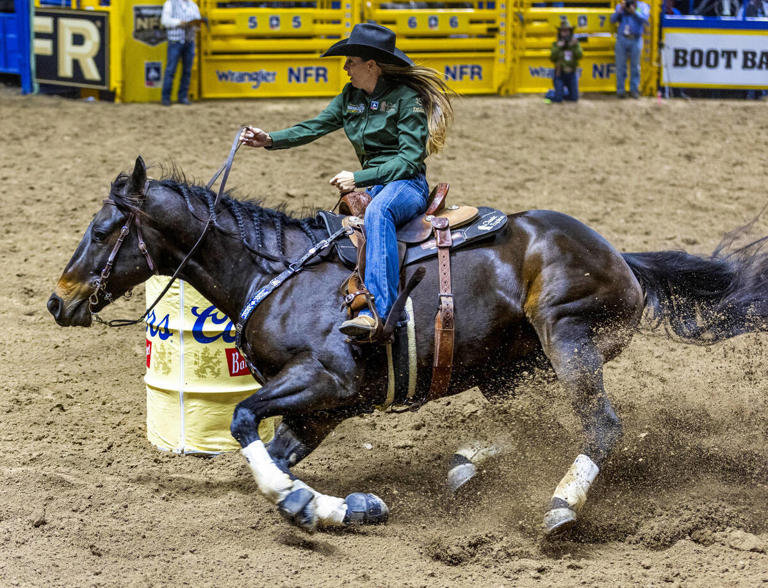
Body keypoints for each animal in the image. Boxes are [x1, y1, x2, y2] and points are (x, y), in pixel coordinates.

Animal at [46, 158, 768, 536]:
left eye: (104, 229)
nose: (58, 299)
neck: (276, 273)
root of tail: (624, 259)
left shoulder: (327, 382)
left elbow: (245, 419)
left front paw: (297, 501)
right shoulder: (323, 410)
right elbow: (273, 451)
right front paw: (335, 505)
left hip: (566, 336)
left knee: (603, 425)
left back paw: (560, 505)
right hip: (509, 365)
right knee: (518, 423)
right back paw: (468, 466)